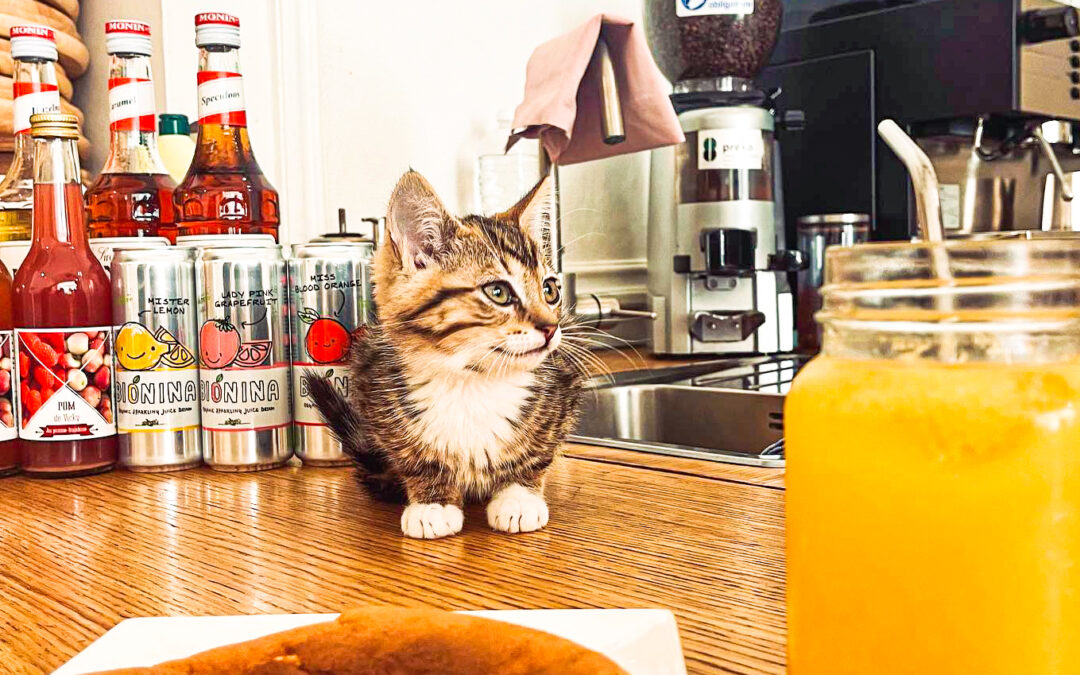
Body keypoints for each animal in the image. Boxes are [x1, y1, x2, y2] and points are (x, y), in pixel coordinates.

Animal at [308, 170, 587, 540]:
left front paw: (518, 497)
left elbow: (537, 452)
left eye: (550, 290)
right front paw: (433, 502)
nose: (551, 327)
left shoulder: (563, 390)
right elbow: (412, 456)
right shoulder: (375, 387)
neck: (470, 380)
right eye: (497, 292)